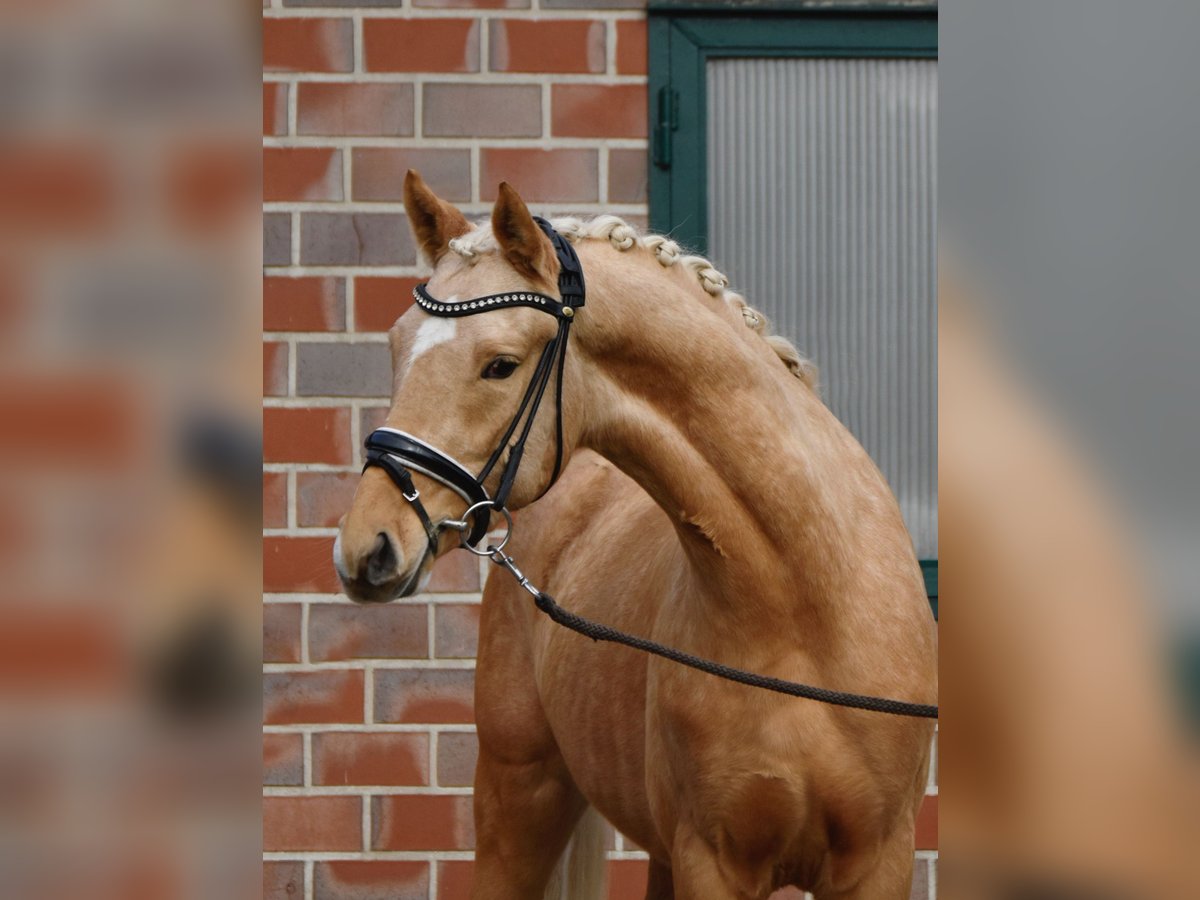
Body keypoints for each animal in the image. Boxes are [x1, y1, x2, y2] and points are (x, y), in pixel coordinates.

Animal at [336, 172, 936, 897]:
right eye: (396, 345)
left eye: (500, 365)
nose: (367, 547)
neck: (804, 607)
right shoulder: (713, 860)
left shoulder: (878, 861)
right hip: (518, 797)